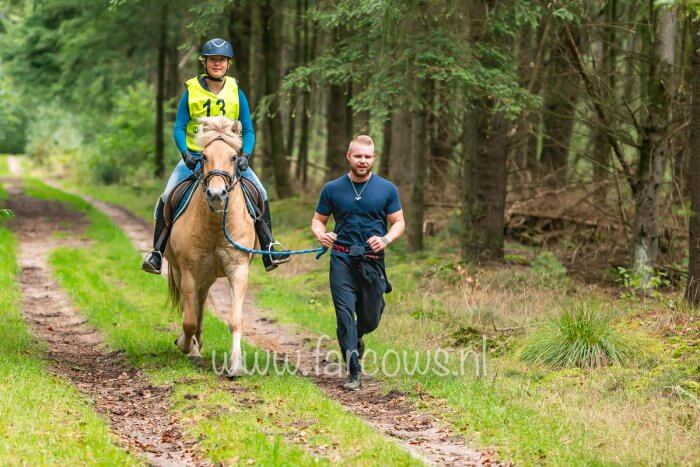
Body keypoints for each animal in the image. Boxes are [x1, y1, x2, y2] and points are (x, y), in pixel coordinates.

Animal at [165, 116, 254, 376]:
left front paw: (236, 365)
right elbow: (188, 319)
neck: (215, 226)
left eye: (234, 157)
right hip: (183, 272)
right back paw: (193, 347)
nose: (217, 194)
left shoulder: (238, 270)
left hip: (209, 276)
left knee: (201, 302)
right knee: (192, 307)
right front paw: (185, 345)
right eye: (203, 156)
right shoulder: (188, 271)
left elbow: (235, 319)